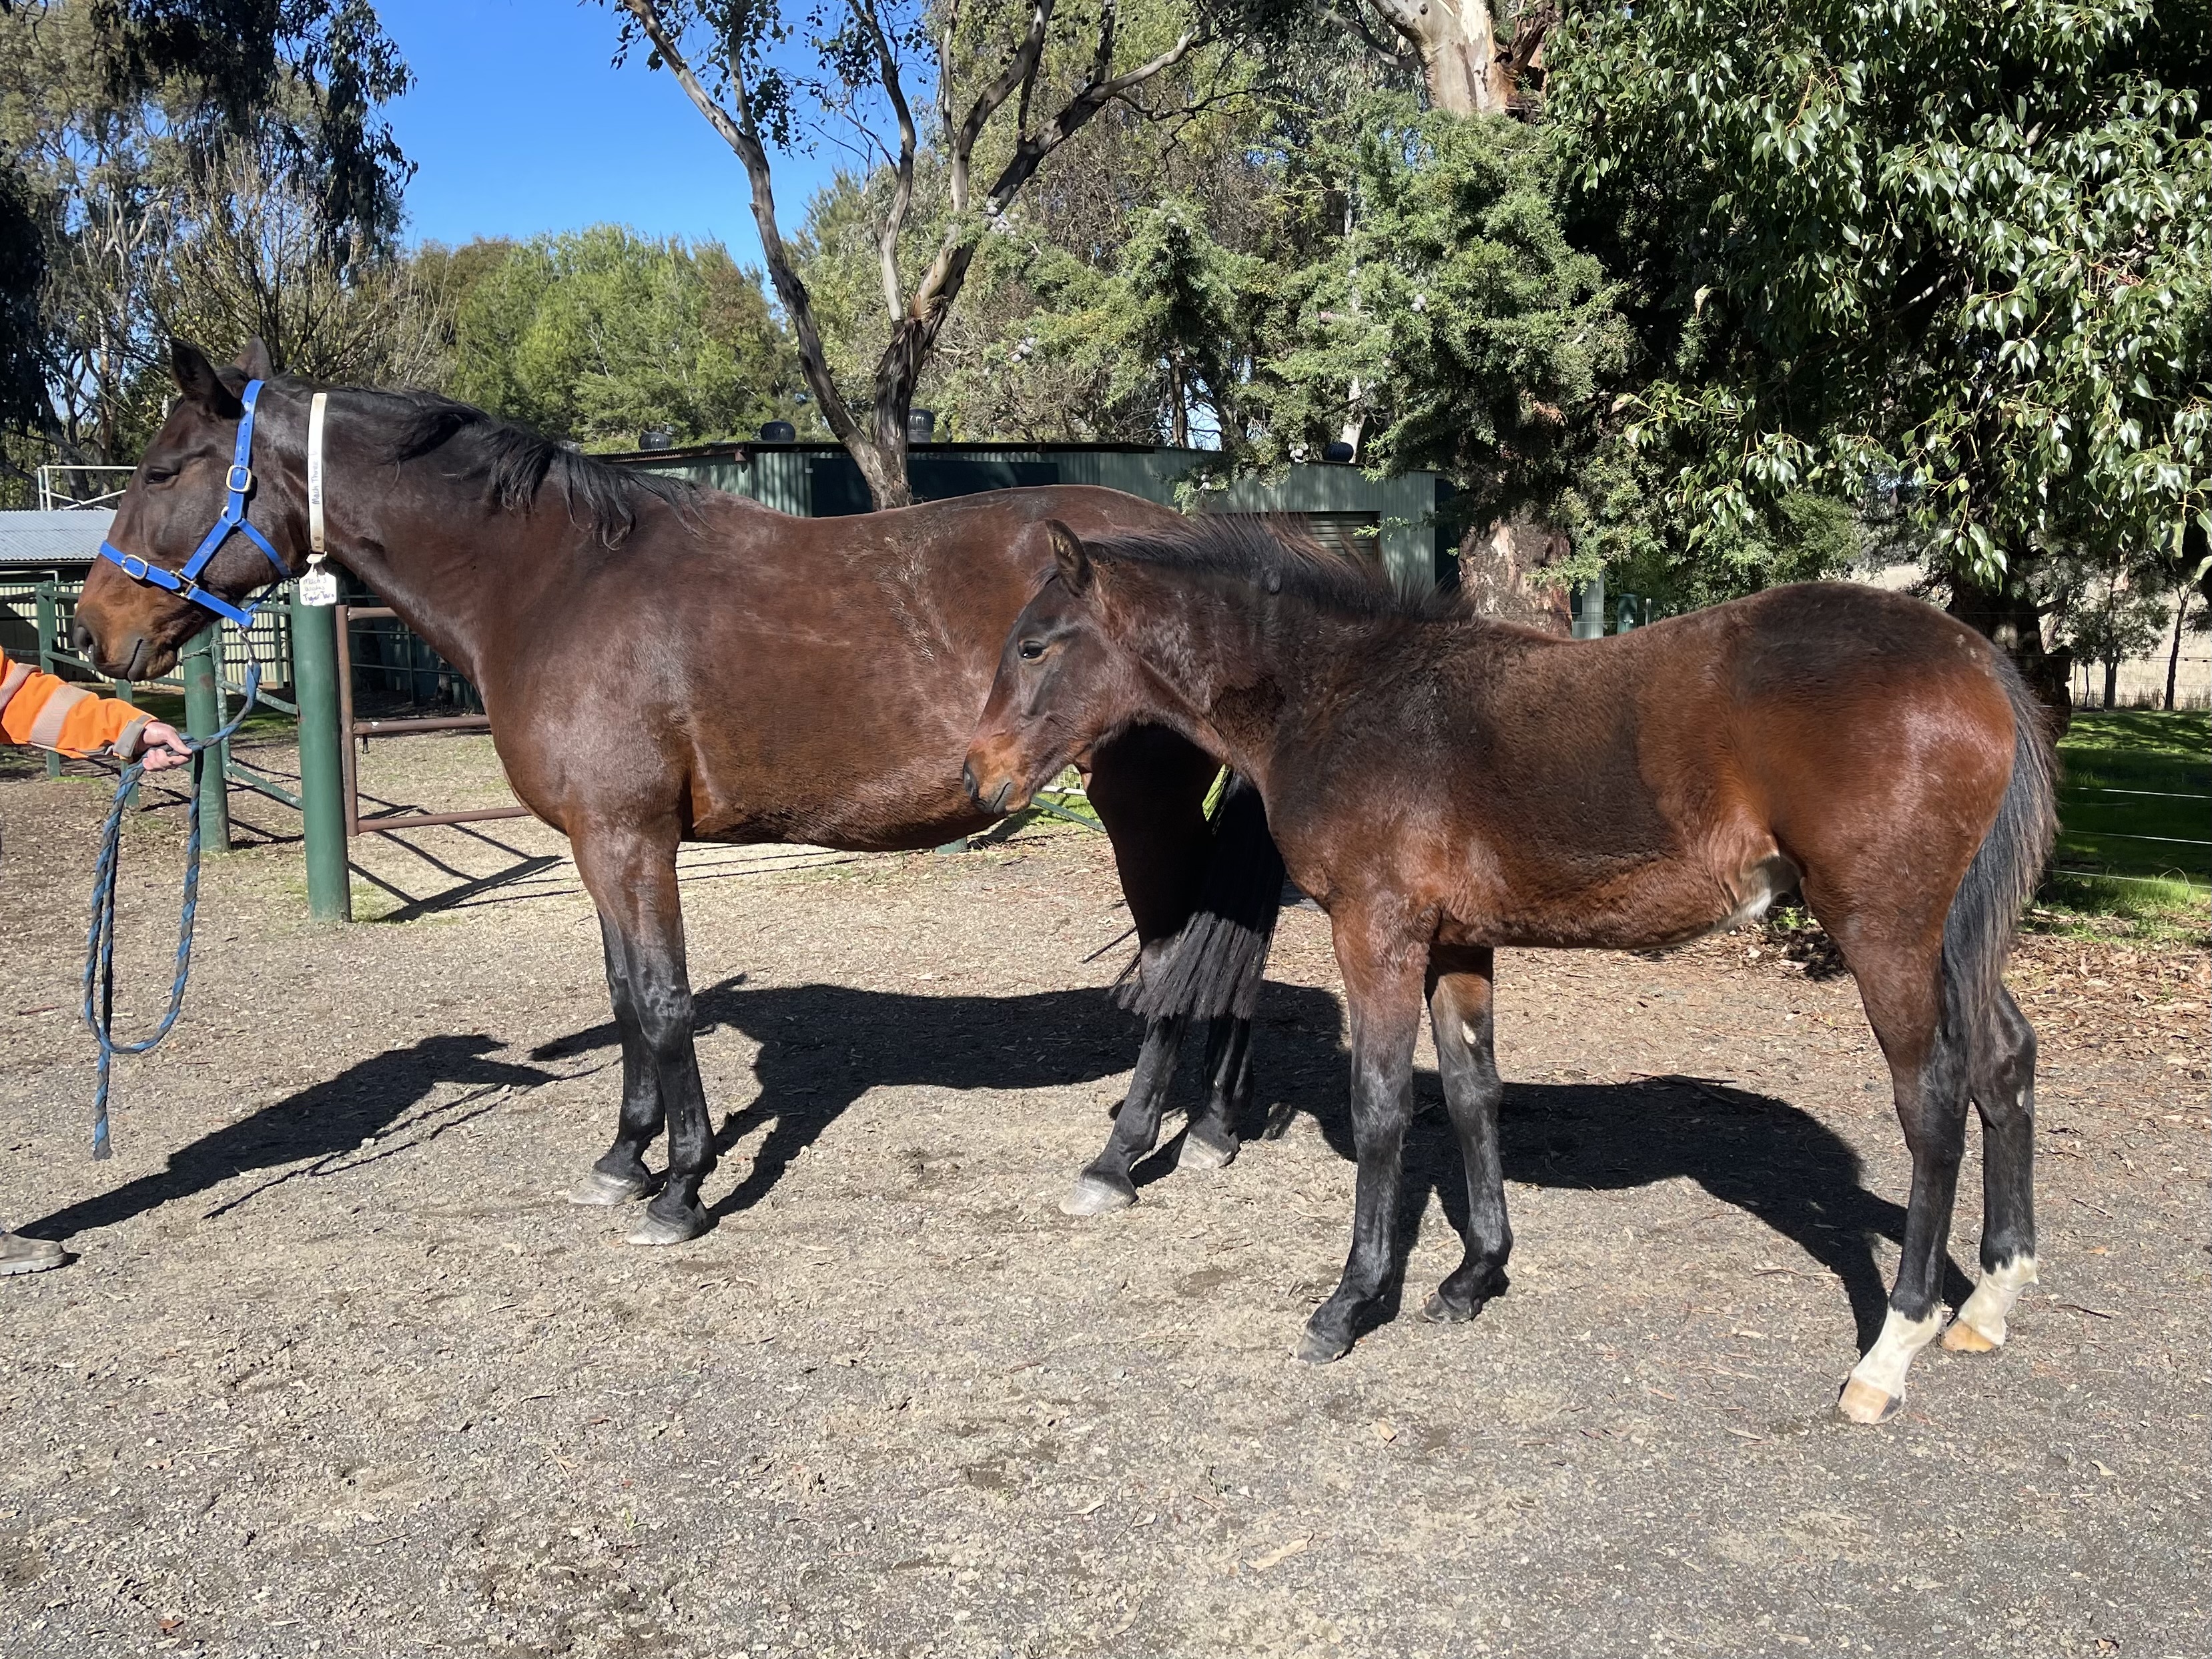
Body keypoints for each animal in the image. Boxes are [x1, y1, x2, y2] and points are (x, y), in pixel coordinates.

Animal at [72, 340, 1284, 1247]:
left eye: (166, 470)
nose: (93, 630)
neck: (556, 584)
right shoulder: (597, 843)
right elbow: (623, 995)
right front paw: (622, 1157)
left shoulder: (629, 836)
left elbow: (661, 1000)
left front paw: (683, 1185)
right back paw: (1211, 1129)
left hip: (1140, 808)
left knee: (1175, 964)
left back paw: (1119, 1158)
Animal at [963, 518, 2058, 1424]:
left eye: (1035, 644)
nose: (979, 777)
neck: (1341, 699)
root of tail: (1975, 658)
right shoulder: (1455, 943)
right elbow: (1470, 1092)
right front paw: (1472, 1276)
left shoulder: (1377, 932)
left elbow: (1381, 1108)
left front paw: (1348, 1302)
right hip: (1950, 935)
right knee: (2004, 1057)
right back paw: (1990, 1300)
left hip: (1882, 928)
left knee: (1931, 1104)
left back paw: (1891, 1350)